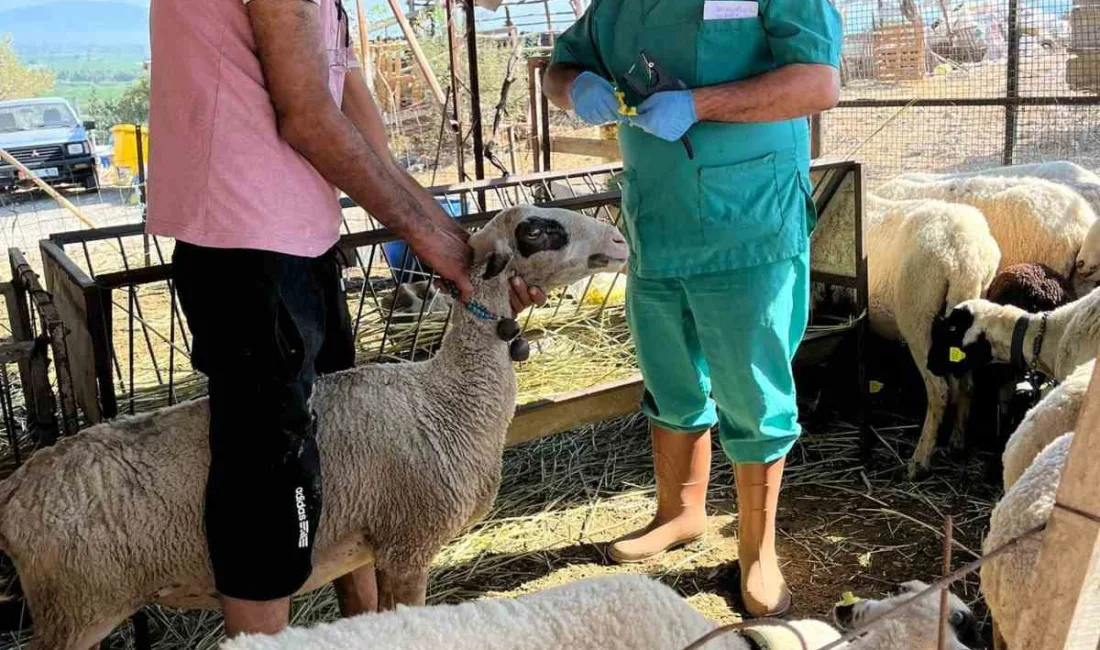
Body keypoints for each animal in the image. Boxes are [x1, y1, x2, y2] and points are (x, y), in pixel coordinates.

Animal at [0, 204, 629, 650]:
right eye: (537, 230)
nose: (620, 241)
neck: (447, 398)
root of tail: (17, 487)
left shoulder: (369, 545)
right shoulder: (408, 544)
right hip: (78, 608)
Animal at [862, 194, 1003, 477]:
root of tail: (963, 257)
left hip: (917, 314)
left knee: (939, 390)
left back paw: (919, 461)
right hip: (970, 310)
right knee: (967, 385)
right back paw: (957, 443)